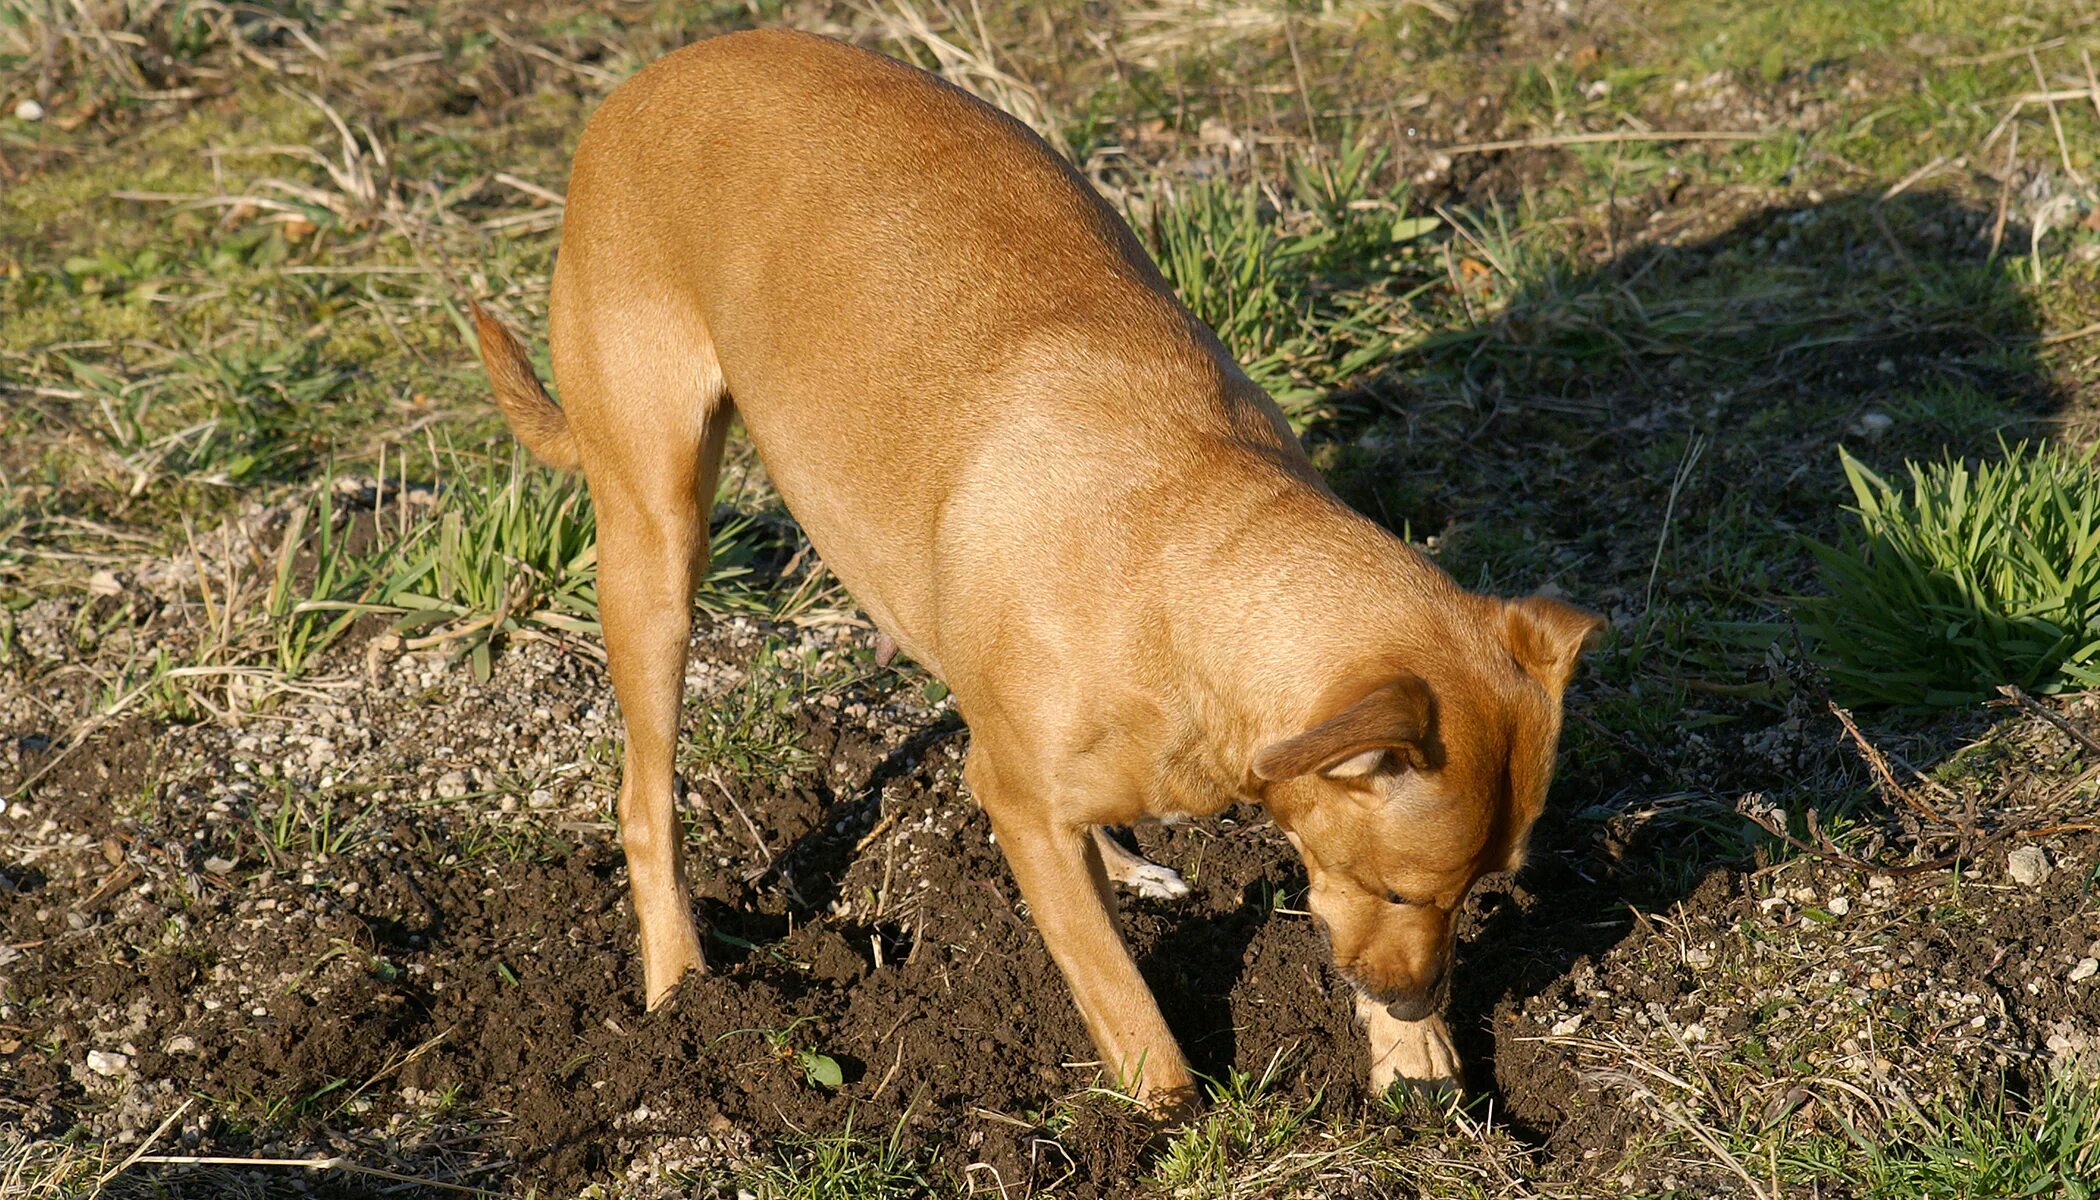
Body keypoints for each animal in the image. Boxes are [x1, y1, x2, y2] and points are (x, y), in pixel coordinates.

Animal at [472, 28, 1587, 1118]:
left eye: (1477, 893)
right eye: (1402, 890)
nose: (1417, 996)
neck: (1192, 562)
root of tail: (645, 82)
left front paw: (1415, 1060)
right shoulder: (1015, 798)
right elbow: (1129, 1010)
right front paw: (1173, 1119)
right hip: (655, 543)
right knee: (644, 803)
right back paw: (678, 989)